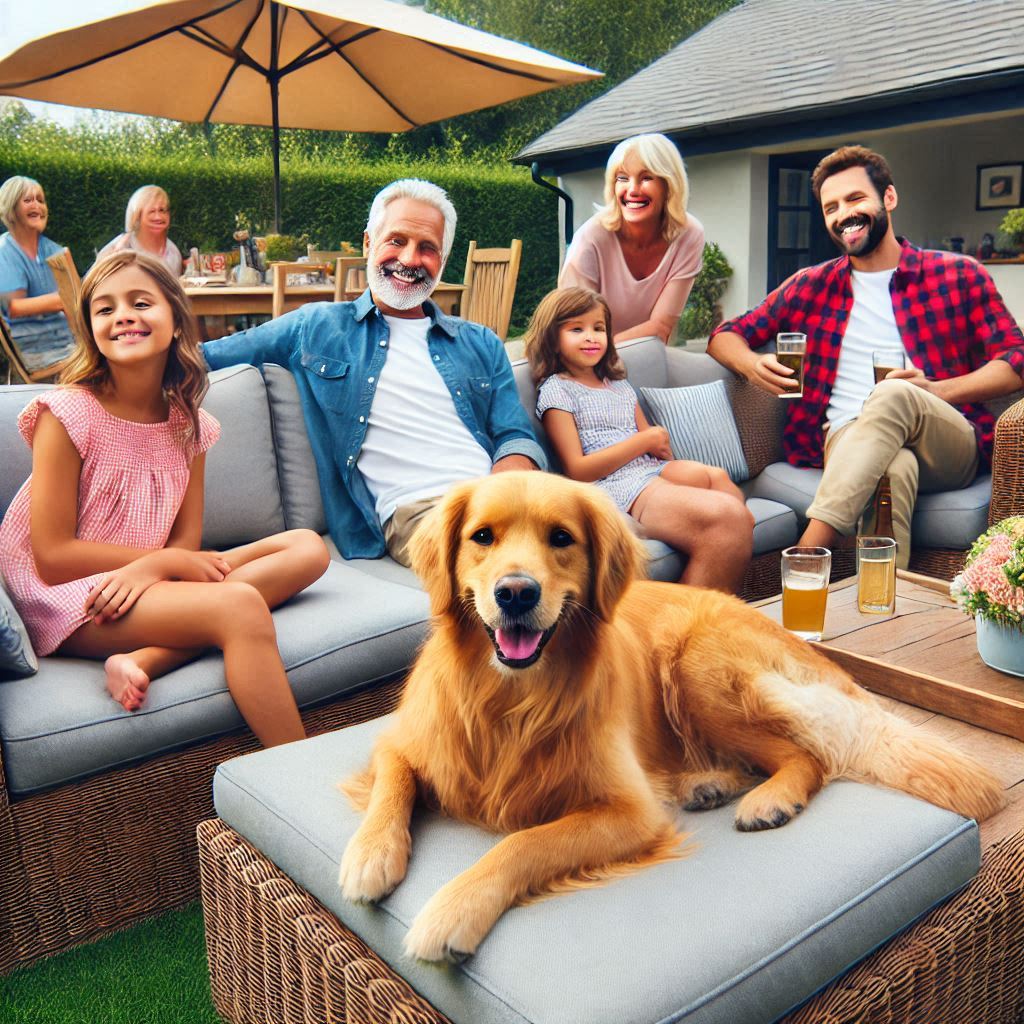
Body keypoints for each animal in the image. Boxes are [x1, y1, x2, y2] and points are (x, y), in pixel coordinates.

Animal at [339, 471, 1003, 958]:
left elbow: (525, 842)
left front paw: (453, 910)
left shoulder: (629, 811)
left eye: (561, 538)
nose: (517, 593)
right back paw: (707, 784)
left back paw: (768, 800)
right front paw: (370, 853)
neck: (509, 699)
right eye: (482, 537)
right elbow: (394, 778)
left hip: (696, 667)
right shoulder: (406, 738)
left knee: (804, 753)